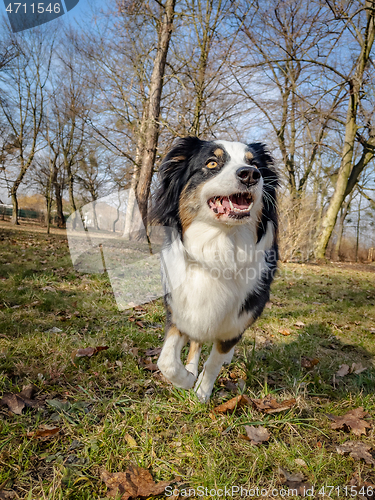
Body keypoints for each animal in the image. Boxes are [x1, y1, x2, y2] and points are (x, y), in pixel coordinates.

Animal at [151, 138, 278, 402]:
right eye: (211, 163)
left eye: (254, 164)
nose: (251, 175)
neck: (218, 245)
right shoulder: (179, 307)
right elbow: (166, 360)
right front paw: (186, 379)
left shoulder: (241, 313)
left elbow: (214, 362)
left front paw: (201, 392)